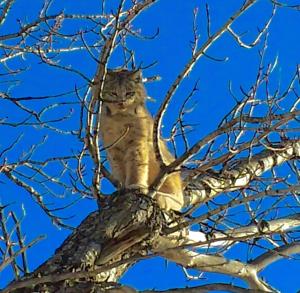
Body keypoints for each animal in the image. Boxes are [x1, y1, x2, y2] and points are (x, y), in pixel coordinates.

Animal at [99, 68, 184, 210]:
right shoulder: (113, 148)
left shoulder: (137, 143)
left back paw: (161, 197)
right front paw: (122, 188)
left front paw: (135, 185)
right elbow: (118, 169)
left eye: (129, 93)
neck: (120, 117)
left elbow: (136, 165)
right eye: (113, 93)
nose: (121, 103)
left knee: (180, 200)